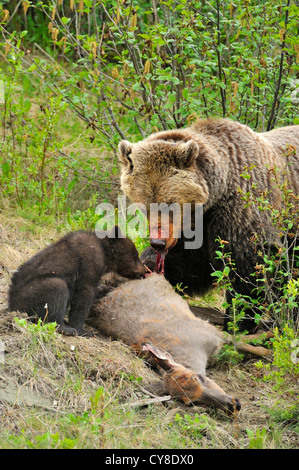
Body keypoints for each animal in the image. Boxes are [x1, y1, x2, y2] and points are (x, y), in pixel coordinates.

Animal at [118, 117, 298, 332]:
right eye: (144, 206)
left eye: (170, 203)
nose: (158, 243)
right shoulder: (197, 227)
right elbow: (189, 264)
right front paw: (146, 266)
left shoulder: (241, 210)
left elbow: (248, 268)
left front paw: (238, 321)